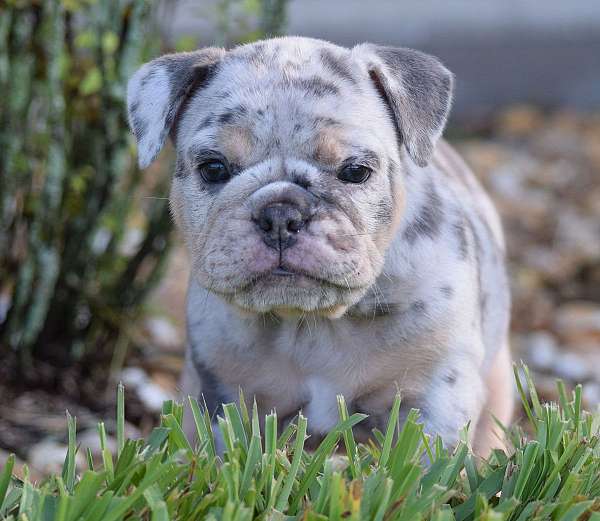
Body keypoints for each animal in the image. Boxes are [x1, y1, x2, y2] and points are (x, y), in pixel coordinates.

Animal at [129, 36, 512, 452]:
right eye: (213, 168)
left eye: (356, 171)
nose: (280, 215)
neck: (309, 321)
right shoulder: (222, 396)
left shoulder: (437, 390)